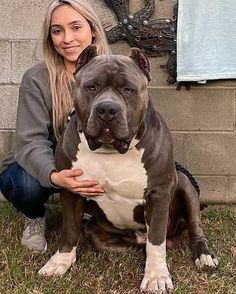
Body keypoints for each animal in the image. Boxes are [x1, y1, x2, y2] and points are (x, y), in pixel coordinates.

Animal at [38, 45, 218, 292]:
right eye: (92, 87)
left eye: (128, 89)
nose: (107, 109)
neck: (111, 151)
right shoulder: (72, 189)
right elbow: (70, 229)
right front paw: (61, 261)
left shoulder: (159, 193)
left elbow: (156, 240)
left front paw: (156, 276)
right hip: (97, 230)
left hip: (184, 183)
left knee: (192, 228)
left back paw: (203, 256)